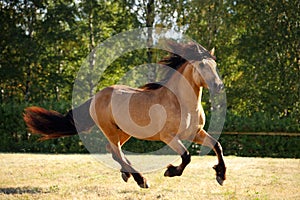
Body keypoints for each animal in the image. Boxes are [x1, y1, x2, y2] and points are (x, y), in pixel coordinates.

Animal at [23, 41, 226, 188]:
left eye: (215, 64)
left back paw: (127, 174)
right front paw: (170, 171)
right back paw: (141, 180)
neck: (182, 103)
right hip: (110, 129)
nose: (219, 87)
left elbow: (217, 145)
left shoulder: (195, 133)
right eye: (202, 65)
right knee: (117, 151)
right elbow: (187, 156)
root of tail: (97, 96)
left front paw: (221, 175)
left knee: (113, 150)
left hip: (125, 131)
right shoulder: (168, 136)